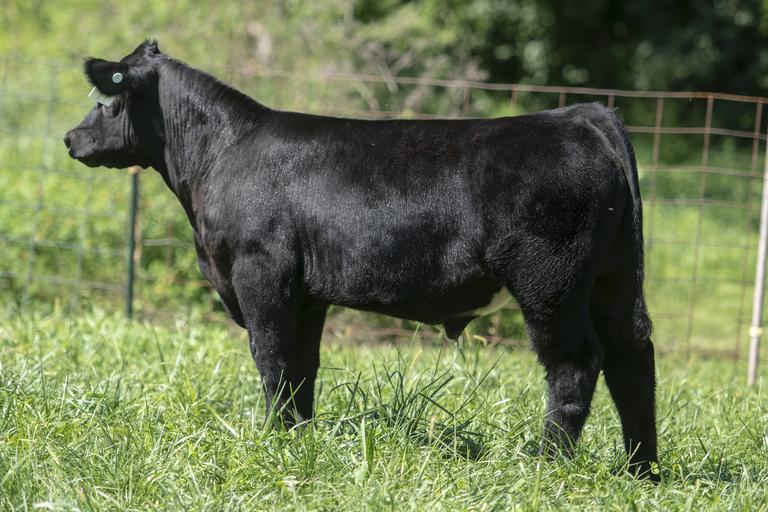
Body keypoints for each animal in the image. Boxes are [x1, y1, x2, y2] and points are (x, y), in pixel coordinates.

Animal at [65, 40, 659, 480]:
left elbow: (271, 358)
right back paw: (640, 471)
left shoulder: (260, 274)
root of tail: (580, 115)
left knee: (576, 362)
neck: (220, 156)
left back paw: (546, 465)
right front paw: (298, 439)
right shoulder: (305, 295)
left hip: (549, 282)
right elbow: (301, 367)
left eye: (106, 98)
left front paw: (273, 443)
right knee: (632, 356)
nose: (71, 137)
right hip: (612, 279)